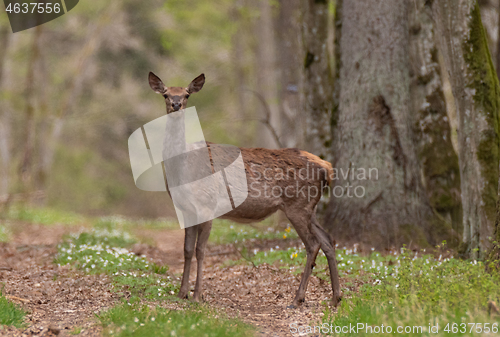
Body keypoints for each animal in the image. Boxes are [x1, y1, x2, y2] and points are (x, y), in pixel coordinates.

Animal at [148, 71, 342, 308]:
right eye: (166, 94)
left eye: (186, 94)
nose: (176, 104)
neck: (182, 168)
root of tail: (327, 167)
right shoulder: (186, 209)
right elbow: (186, 250)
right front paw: (182, 293)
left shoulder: (207, 204)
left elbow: (200, 251)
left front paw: (197, 295)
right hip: (309, 207)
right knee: (328, 239)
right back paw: (335, 297)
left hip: (297, 205)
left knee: (313, 244)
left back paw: (298, 298)